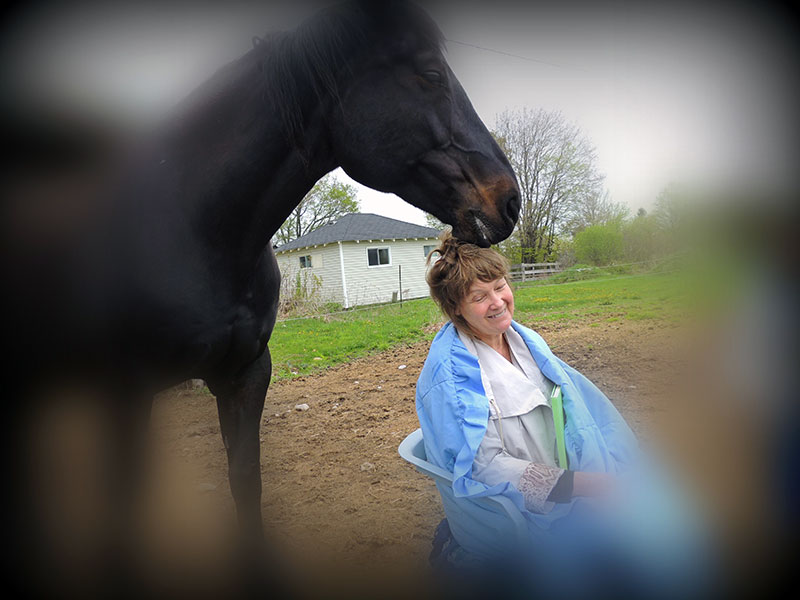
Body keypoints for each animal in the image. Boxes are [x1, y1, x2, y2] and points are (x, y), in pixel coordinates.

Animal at [3, 0, 520, 588]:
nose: (510, 200)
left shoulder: (245, 374)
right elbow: (122, 502)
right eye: (431, 74)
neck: (191, 230)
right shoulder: (125, 389)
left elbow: (244, 478)